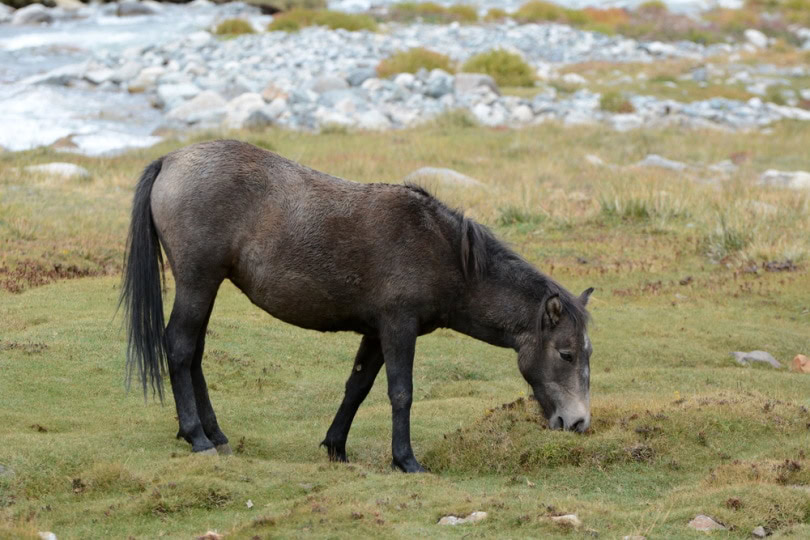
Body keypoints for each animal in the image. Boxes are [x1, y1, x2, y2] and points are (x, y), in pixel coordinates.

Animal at [120, 139, 593, 473]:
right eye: (566, 354)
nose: (579, 423)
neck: (442, 250)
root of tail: (171, 160)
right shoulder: (398, 327)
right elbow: (401, 392)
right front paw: (406, 460)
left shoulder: (375, 332)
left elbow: (358, 386)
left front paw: (336, 447)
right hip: (198, 282)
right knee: (181, 348)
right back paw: (197, 437)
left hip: (206, 286)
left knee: (194, 353)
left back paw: (215, 435)